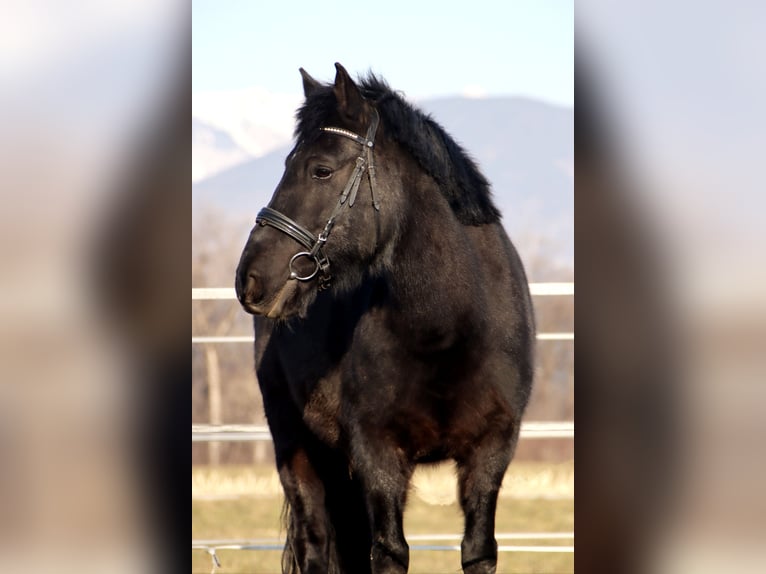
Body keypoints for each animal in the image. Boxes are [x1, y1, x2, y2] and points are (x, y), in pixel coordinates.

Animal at [234, 63, 536, 574]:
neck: (449, 330)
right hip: (297, 447)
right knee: (316, 544)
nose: (250, 278)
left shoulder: (491, 451)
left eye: (320, 169)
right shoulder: (378, 454)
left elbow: (478, 550)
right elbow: (390, 552)